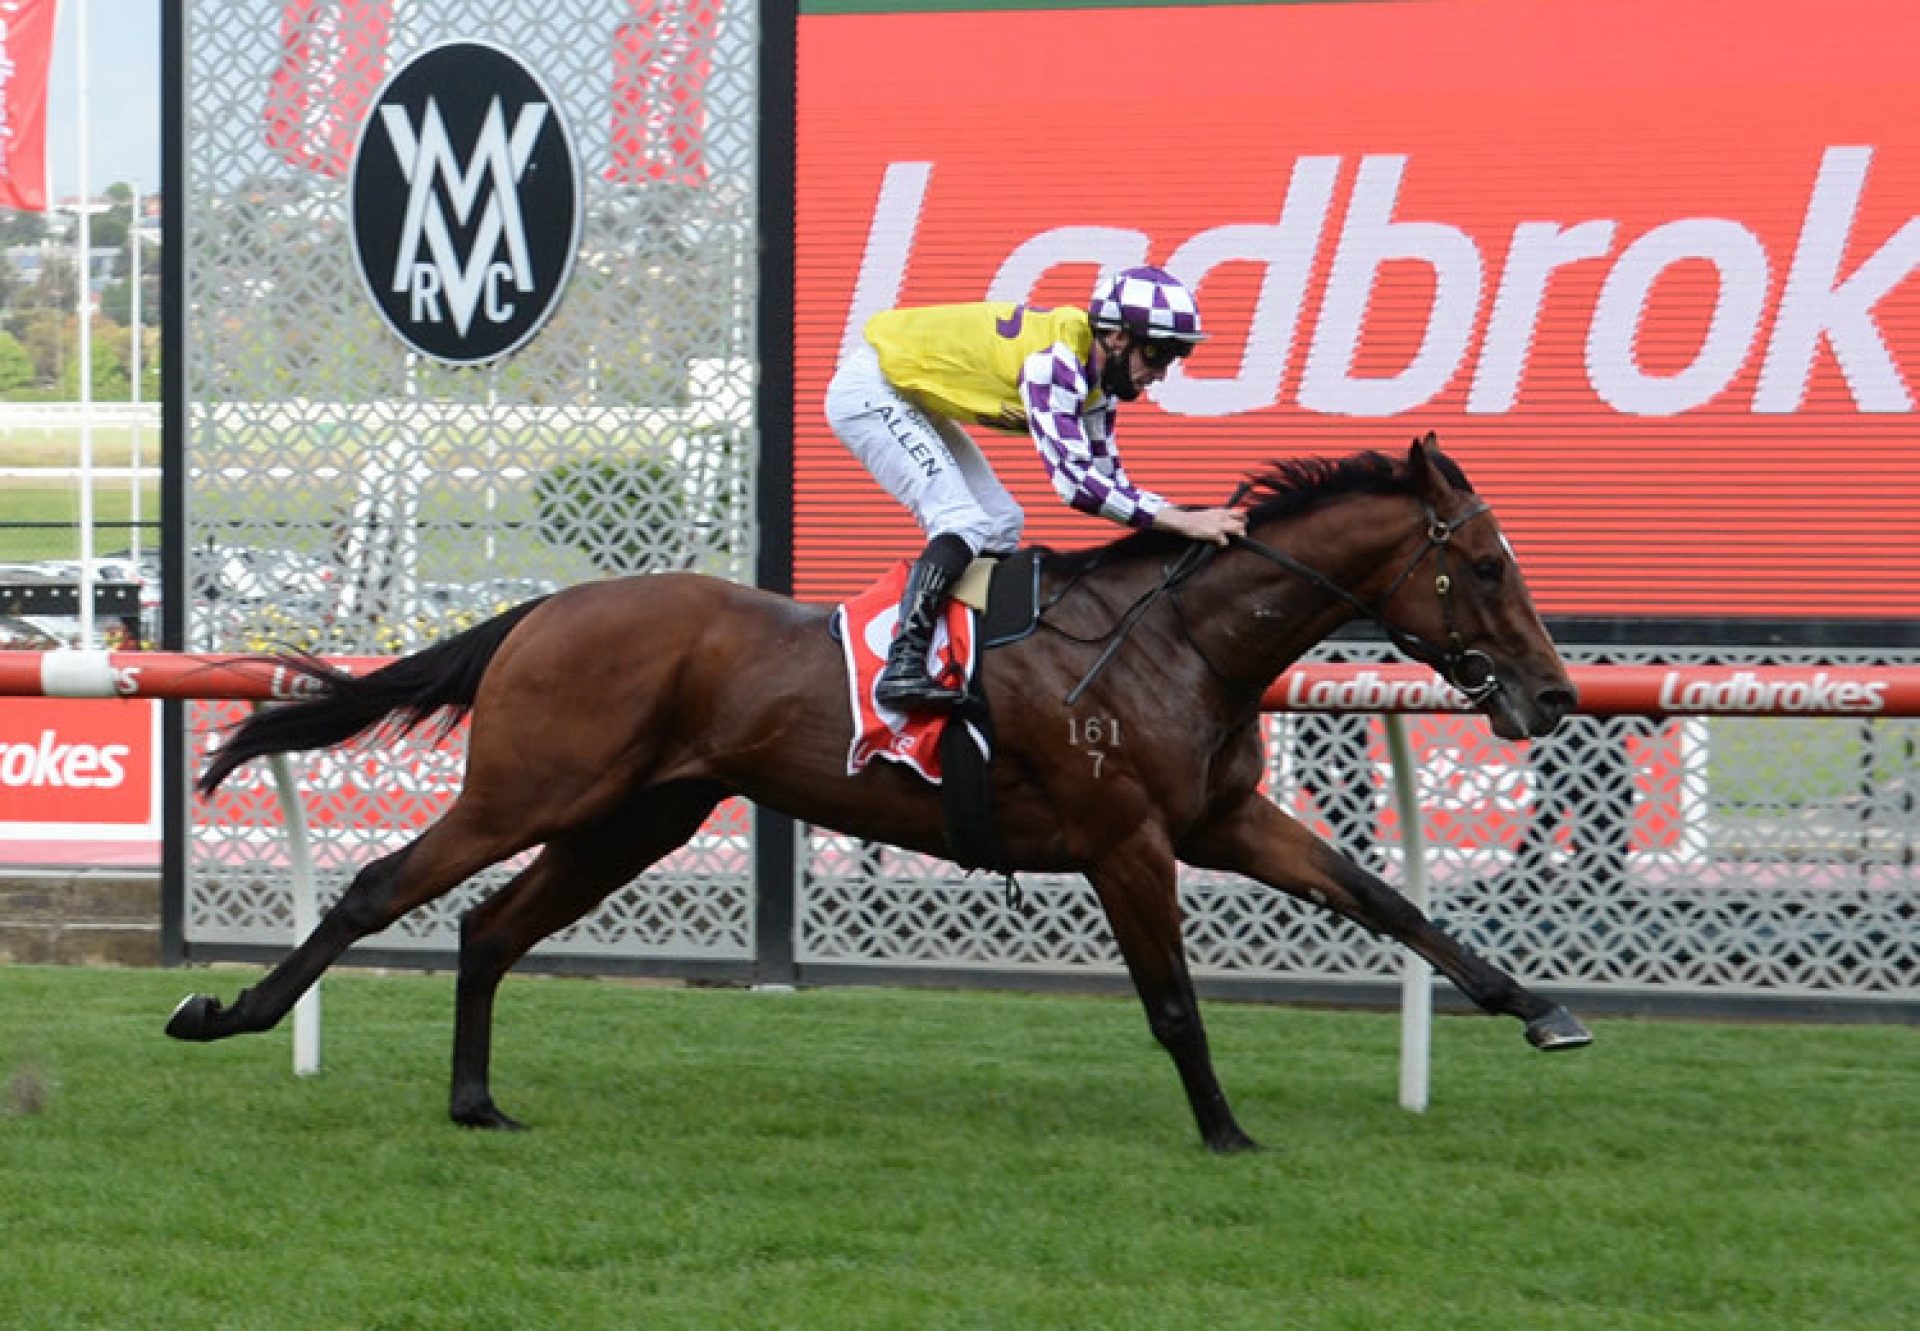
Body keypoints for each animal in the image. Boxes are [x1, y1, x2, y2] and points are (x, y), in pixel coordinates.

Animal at [172, 435, 1589, 1152]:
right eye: (1484, 563)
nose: (1555, 692)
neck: (1179, 639)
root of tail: (542, 608)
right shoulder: (1127, 838)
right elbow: (1176, 1002)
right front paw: (1228, 1132)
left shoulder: (1224, 819)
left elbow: (1389, 903)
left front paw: (1541, 1010)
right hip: (531, 786)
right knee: (379, 888)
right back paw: (227, 1013)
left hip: (634, 818)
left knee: (487, 927)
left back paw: (475, 1100)